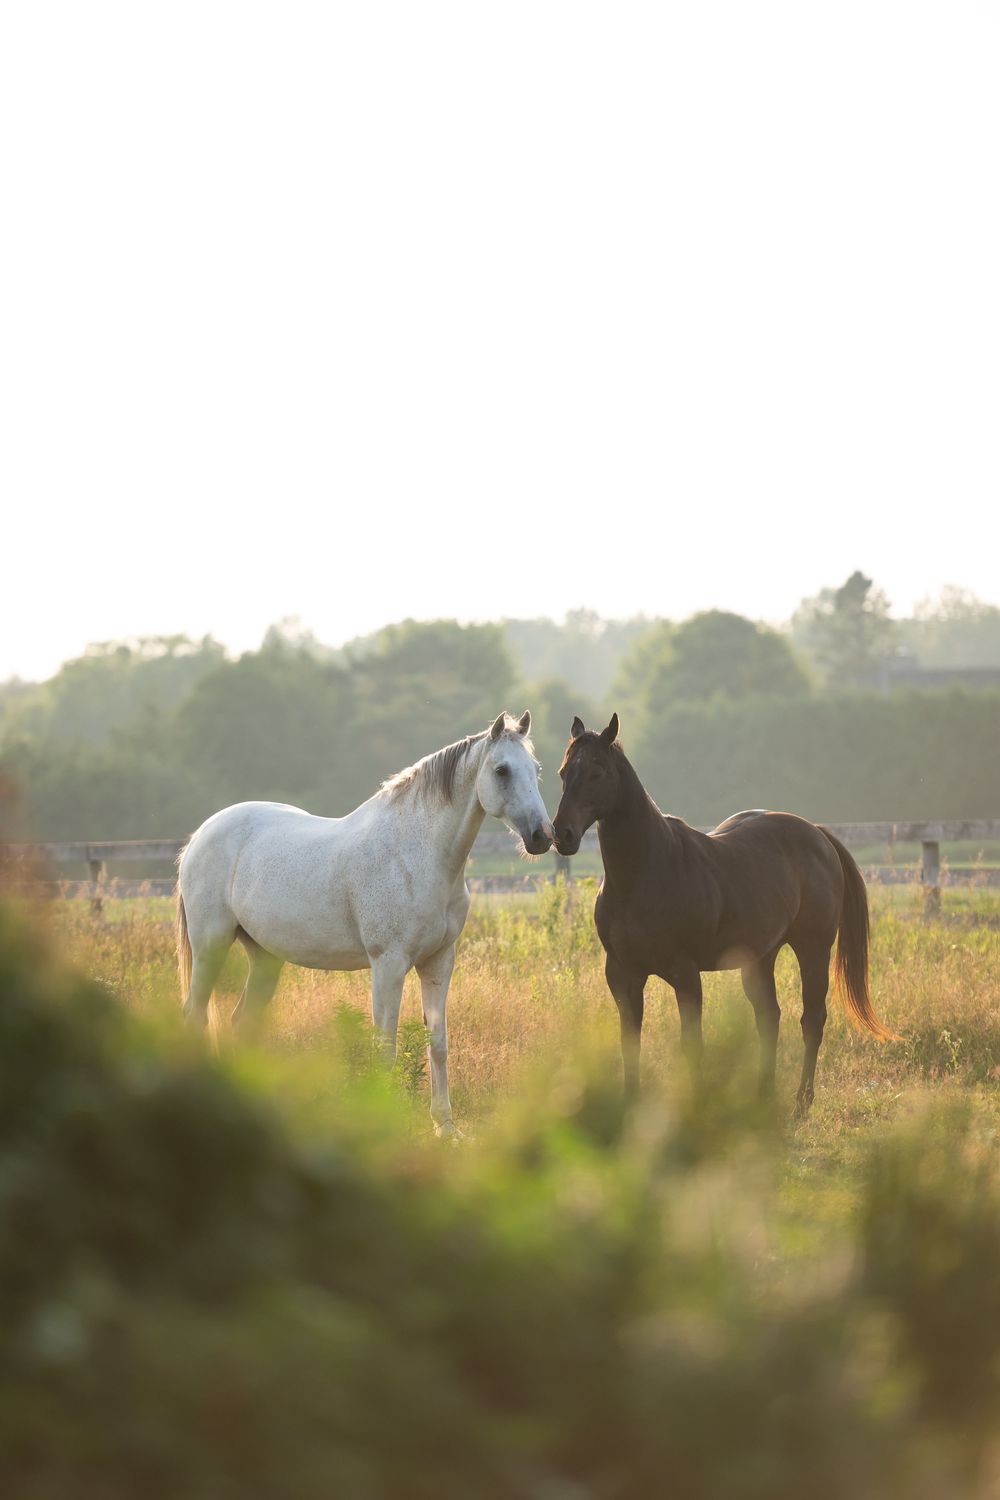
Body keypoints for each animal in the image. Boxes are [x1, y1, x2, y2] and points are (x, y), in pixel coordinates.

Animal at [176, 711, 553, 1134]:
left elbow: (437, 1043)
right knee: (195, 1015)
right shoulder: (388, 964)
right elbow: (385, 1046)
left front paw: (445, 1125)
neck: (417, 854)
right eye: (502, 770)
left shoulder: (438, 962)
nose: (543, 836)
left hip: (265, 959)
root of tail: (198, 836)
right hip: (211, 945)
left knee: (241, 1023)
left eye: (536, 769)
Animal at [551, 713, 896, 1115]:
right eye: (563, 772)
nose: (562, 834)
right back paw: (763, 1095)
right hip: (761, 958)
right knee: (769, 1017)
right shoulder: (623, 975)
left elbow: (692, 1044)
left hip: (813, 950)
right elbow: (630, 1043)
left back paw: (801, 1102)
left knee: (812, 1020)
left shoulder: (685, 974)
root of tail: (818, 835)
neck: (645, 873)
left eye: (597, 772)